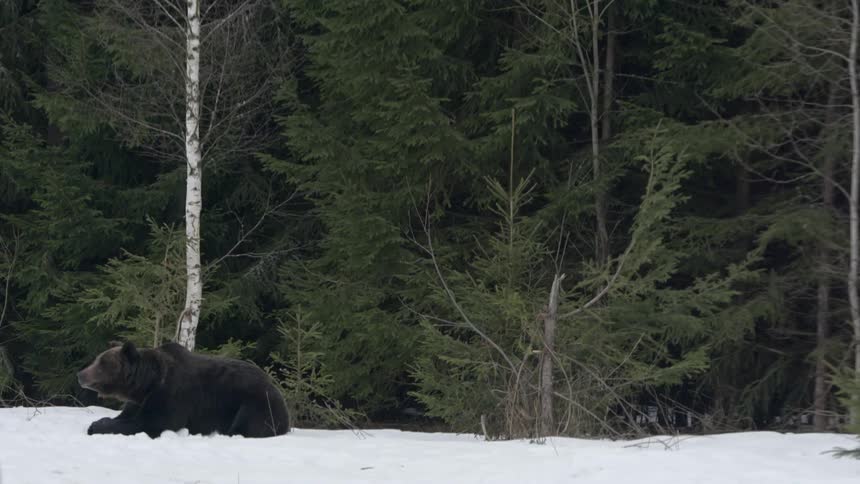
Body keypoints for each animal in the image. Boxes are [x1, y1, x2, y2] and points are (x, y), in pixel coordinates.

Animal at [77, 340, 290, 439]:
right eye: (97, 359)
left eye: (102, 363)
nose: (80, 374)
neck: (147, 384)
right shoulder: (140, 400)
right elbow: (126, 415)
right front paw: (102, 420)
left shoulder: (172, 394)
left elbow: (153, 422)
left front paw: (96, 426)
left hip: (254, 402)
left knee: (249, 423)